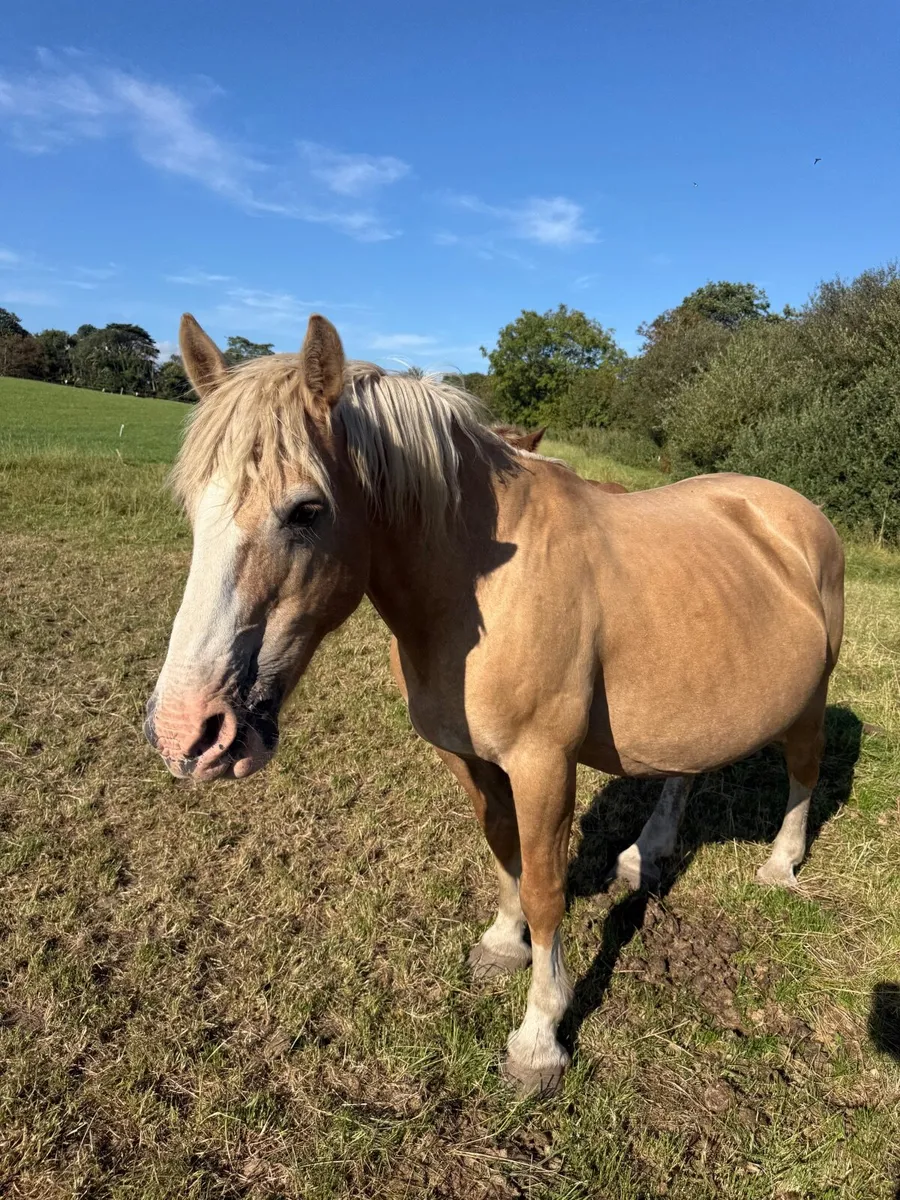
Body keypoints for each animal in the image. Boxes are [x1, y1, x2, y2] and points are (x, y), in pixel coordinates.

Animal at [145, 313, 845, 1096]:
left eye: (306, 510)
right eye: (190, 507)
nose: (188, 732)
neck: (477, 588)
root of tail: (794, 513)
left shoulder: (544, 765)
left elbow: (545, 888)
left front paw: (539, 1037)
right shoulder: (469, 759)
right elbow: (505, 855)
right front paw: (504, 946)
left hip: (811, 697)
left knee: (804, 769)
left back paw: (781, 865)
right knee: (683, 768)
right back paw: (647, 855)